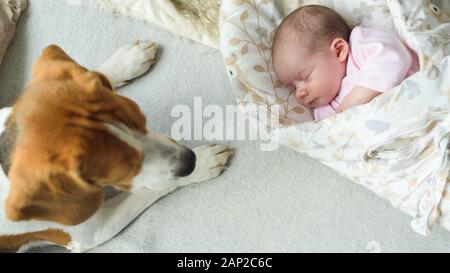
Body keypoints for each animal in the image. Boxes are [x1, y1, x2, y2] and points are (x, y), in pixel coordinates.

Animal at [0, 41, 232, 252]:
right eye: (125, 170)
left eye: (142, 120)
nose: (190, 161)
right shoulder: (92, 233)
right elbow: (149, 190)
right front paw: (204, 162)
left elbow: (96, 73)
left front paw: (128, 60)